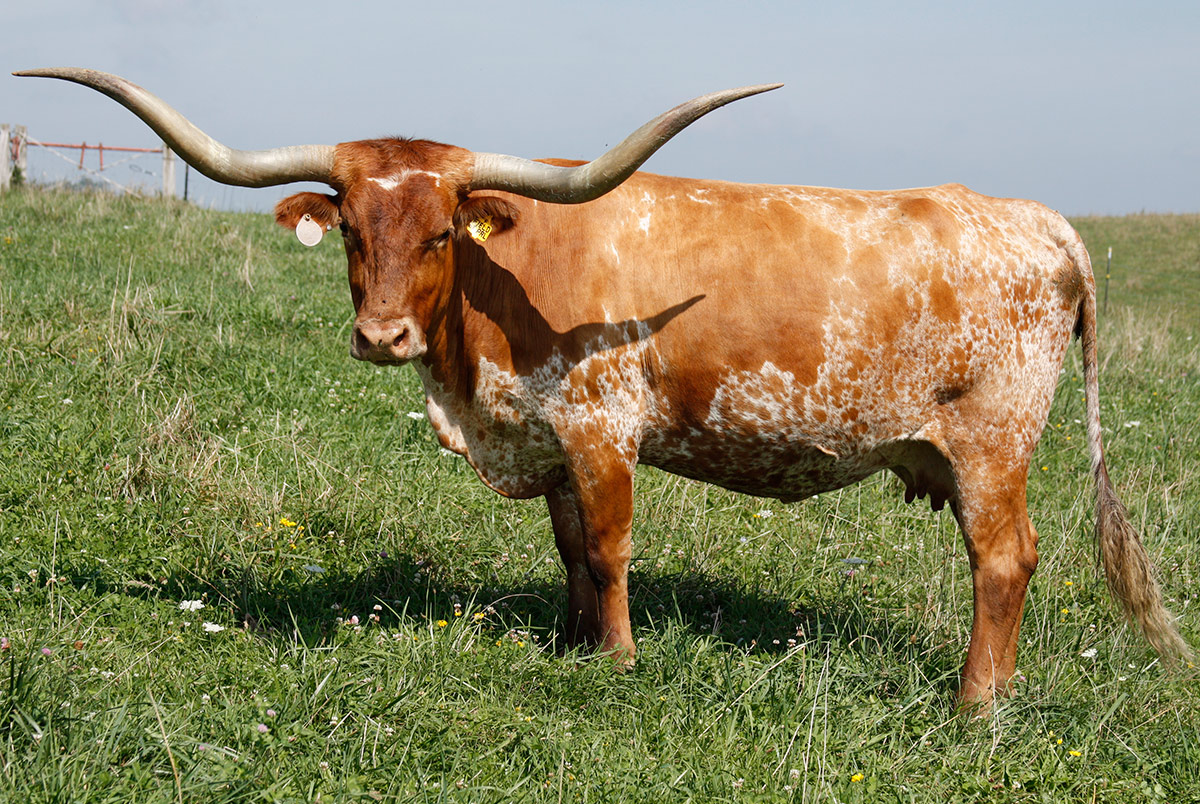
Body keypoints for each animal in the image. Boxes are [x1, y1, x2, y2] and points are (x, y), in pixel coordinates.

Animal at [21, 72, 1190, 710]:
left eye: (442, 232)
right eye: (350, 229)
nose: (381, 336)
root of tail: (1035, 218)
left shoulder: (600, 430)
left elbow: (616, 546)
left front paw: (621, 659)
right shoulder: (545, 442)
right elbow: (573, 552)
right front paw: (575, 646)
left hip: (993, 446)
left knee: (1006, 561)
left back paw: (974, 706)